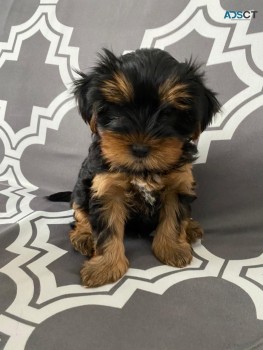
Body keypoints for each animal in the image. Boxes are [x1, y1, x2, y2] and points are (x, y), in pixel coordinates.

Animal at [66, 47, 221, 288]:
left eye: (168, 113)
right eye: (119, 110)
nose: (140, 148)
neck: (144, 171)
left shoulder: (178, 184)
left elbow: (174, 218)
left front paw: (172, 248)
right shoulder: (106, 187)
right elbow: (107, 230)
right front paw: (105, 267)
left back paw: (190, 227)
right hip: (81, 190)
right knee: (80, 214)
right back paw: (84, 236)